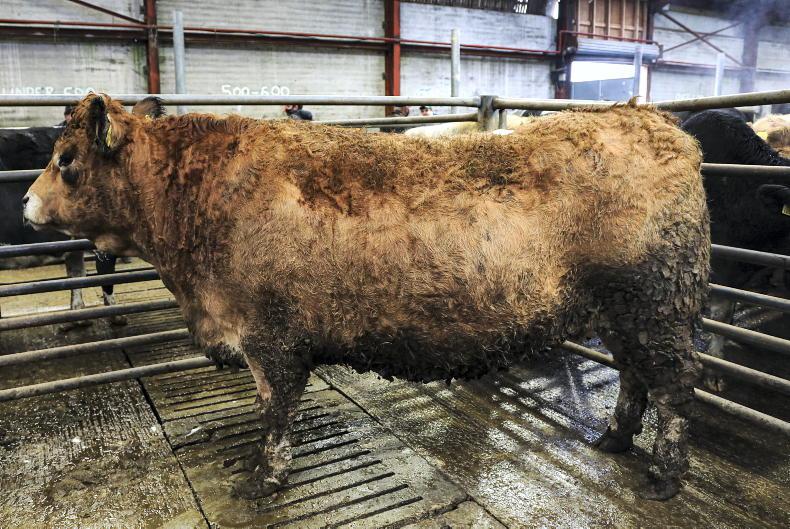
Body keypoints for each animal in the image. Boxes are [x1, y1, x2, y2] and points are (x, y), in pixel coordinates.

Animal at [23, 94, 710, 501]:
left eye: (67, 159)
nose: (25, 200)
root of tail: (648, 118)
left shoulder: (272, 338)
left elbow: (276, 413)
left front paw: (265, 477)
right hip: (625, 312)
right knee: (634, 376)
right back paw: (614, 439)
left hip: (656, 305)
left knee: (676, 387)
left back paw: (664, 476)